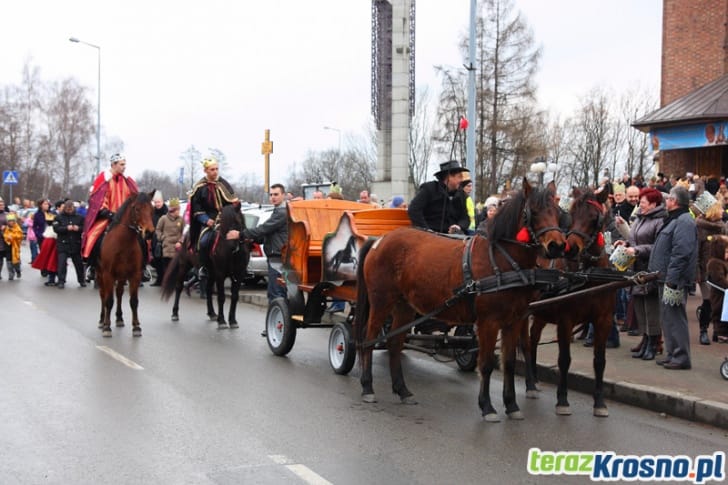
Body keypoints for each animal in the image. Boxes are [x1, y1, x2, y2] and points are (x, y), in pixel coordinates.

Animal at [96, 190, 156, 336]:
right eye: (137, 209)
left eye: (152, 209)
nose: (149, 233)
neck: (123, 244)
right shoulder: (108, 275)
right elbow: (108, 300)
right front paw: (107, 327)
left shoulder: (135, 275)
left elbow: (133, 301)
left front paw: (136, 327)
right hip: (100, 274)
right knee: (103, 295)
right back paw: (102, 320)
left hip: (122, 276)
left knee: (119, 293)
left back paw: (119, 318)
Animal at [356, 178, 564, 420]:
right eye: (534, 212)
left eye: (557, 212)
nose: (557, 246)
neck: (501, 260)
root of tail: (380, 240)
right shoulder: (488, 322)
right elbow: (486, 364)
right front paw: (487, 407)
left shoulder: (513, 321)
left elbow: (509, 363)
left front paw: (511, 405)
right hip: (381, 302)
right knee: (368, 339)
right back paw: (367, 387)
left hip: (404, 306)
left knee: (395, 343)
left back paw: (402, 390)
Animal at [528, 185, 616, 416]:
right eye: (572, 214)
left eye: (594, 218)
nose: (571, 248)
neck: (588, 274)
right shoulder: (566, 320)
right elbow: (564, 359)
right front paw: (562, 399)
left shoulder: (604, 320)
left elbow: (600, 360)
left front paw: (600, 402)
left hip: (540, 314)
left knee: (532, 340)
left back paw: (533, 382)